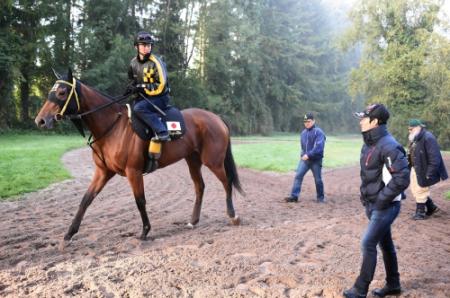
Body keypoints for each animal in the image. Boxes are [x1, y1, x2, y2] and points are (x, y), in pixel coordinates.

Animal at [33, 69, 244, 242]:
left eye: (62, 93)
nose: (41, 120)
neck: (113, 127)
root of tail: (216, 118)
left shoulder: (133, 171)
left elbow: (140, 200)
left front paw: (145, 230)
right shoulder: (103, 172)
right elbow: (86, 199)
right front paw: (69, 233)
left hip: (213, 161)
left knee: (226, 183)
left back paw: (233, 215)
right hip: (192, 160)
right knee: (200, 187)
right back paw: (193, 221)